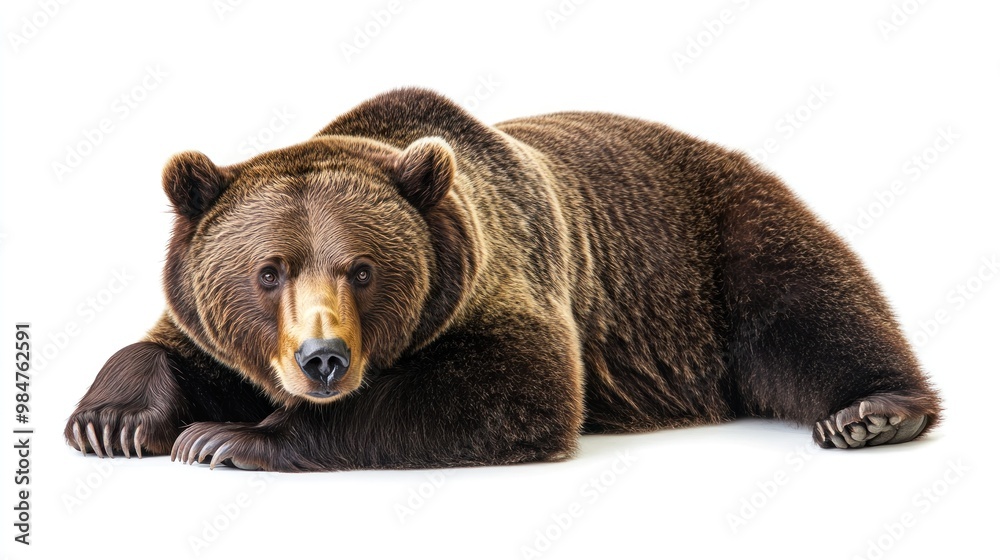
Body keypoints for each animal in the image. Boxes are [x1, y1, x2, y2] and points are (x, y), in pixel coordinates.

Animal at [64, 88, 941, 471]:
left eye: (363, 269)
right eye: (268, 271)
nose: (323, 360)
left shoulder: (506, 278)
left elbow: (513, 389)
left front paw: (226, 437)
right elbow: (175, 345)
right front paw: (112, 420)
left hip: (717, 240)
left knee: (809, 306)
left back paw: (872, 413)